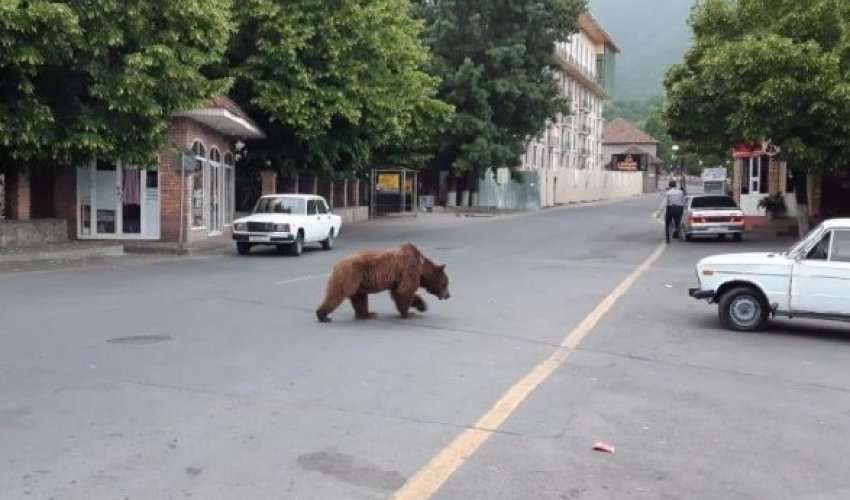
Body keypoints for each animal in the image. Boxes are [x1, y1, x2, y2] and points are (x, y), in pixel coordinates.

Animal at [314, 243, 450, 322]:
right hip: (350, 274)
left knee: (359, 298)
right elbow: (405, 290)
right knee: (336, 294)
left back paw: (367, 314)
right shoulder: (409, 269)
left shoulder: (397, 279)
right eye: (446, 283)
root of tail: (336, 264)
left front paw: (422, 305)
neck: (422, 268)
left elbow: (398, 292)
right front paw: (408, 313)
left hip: (358, 281)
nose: (448, 295)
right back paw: (323, 315)